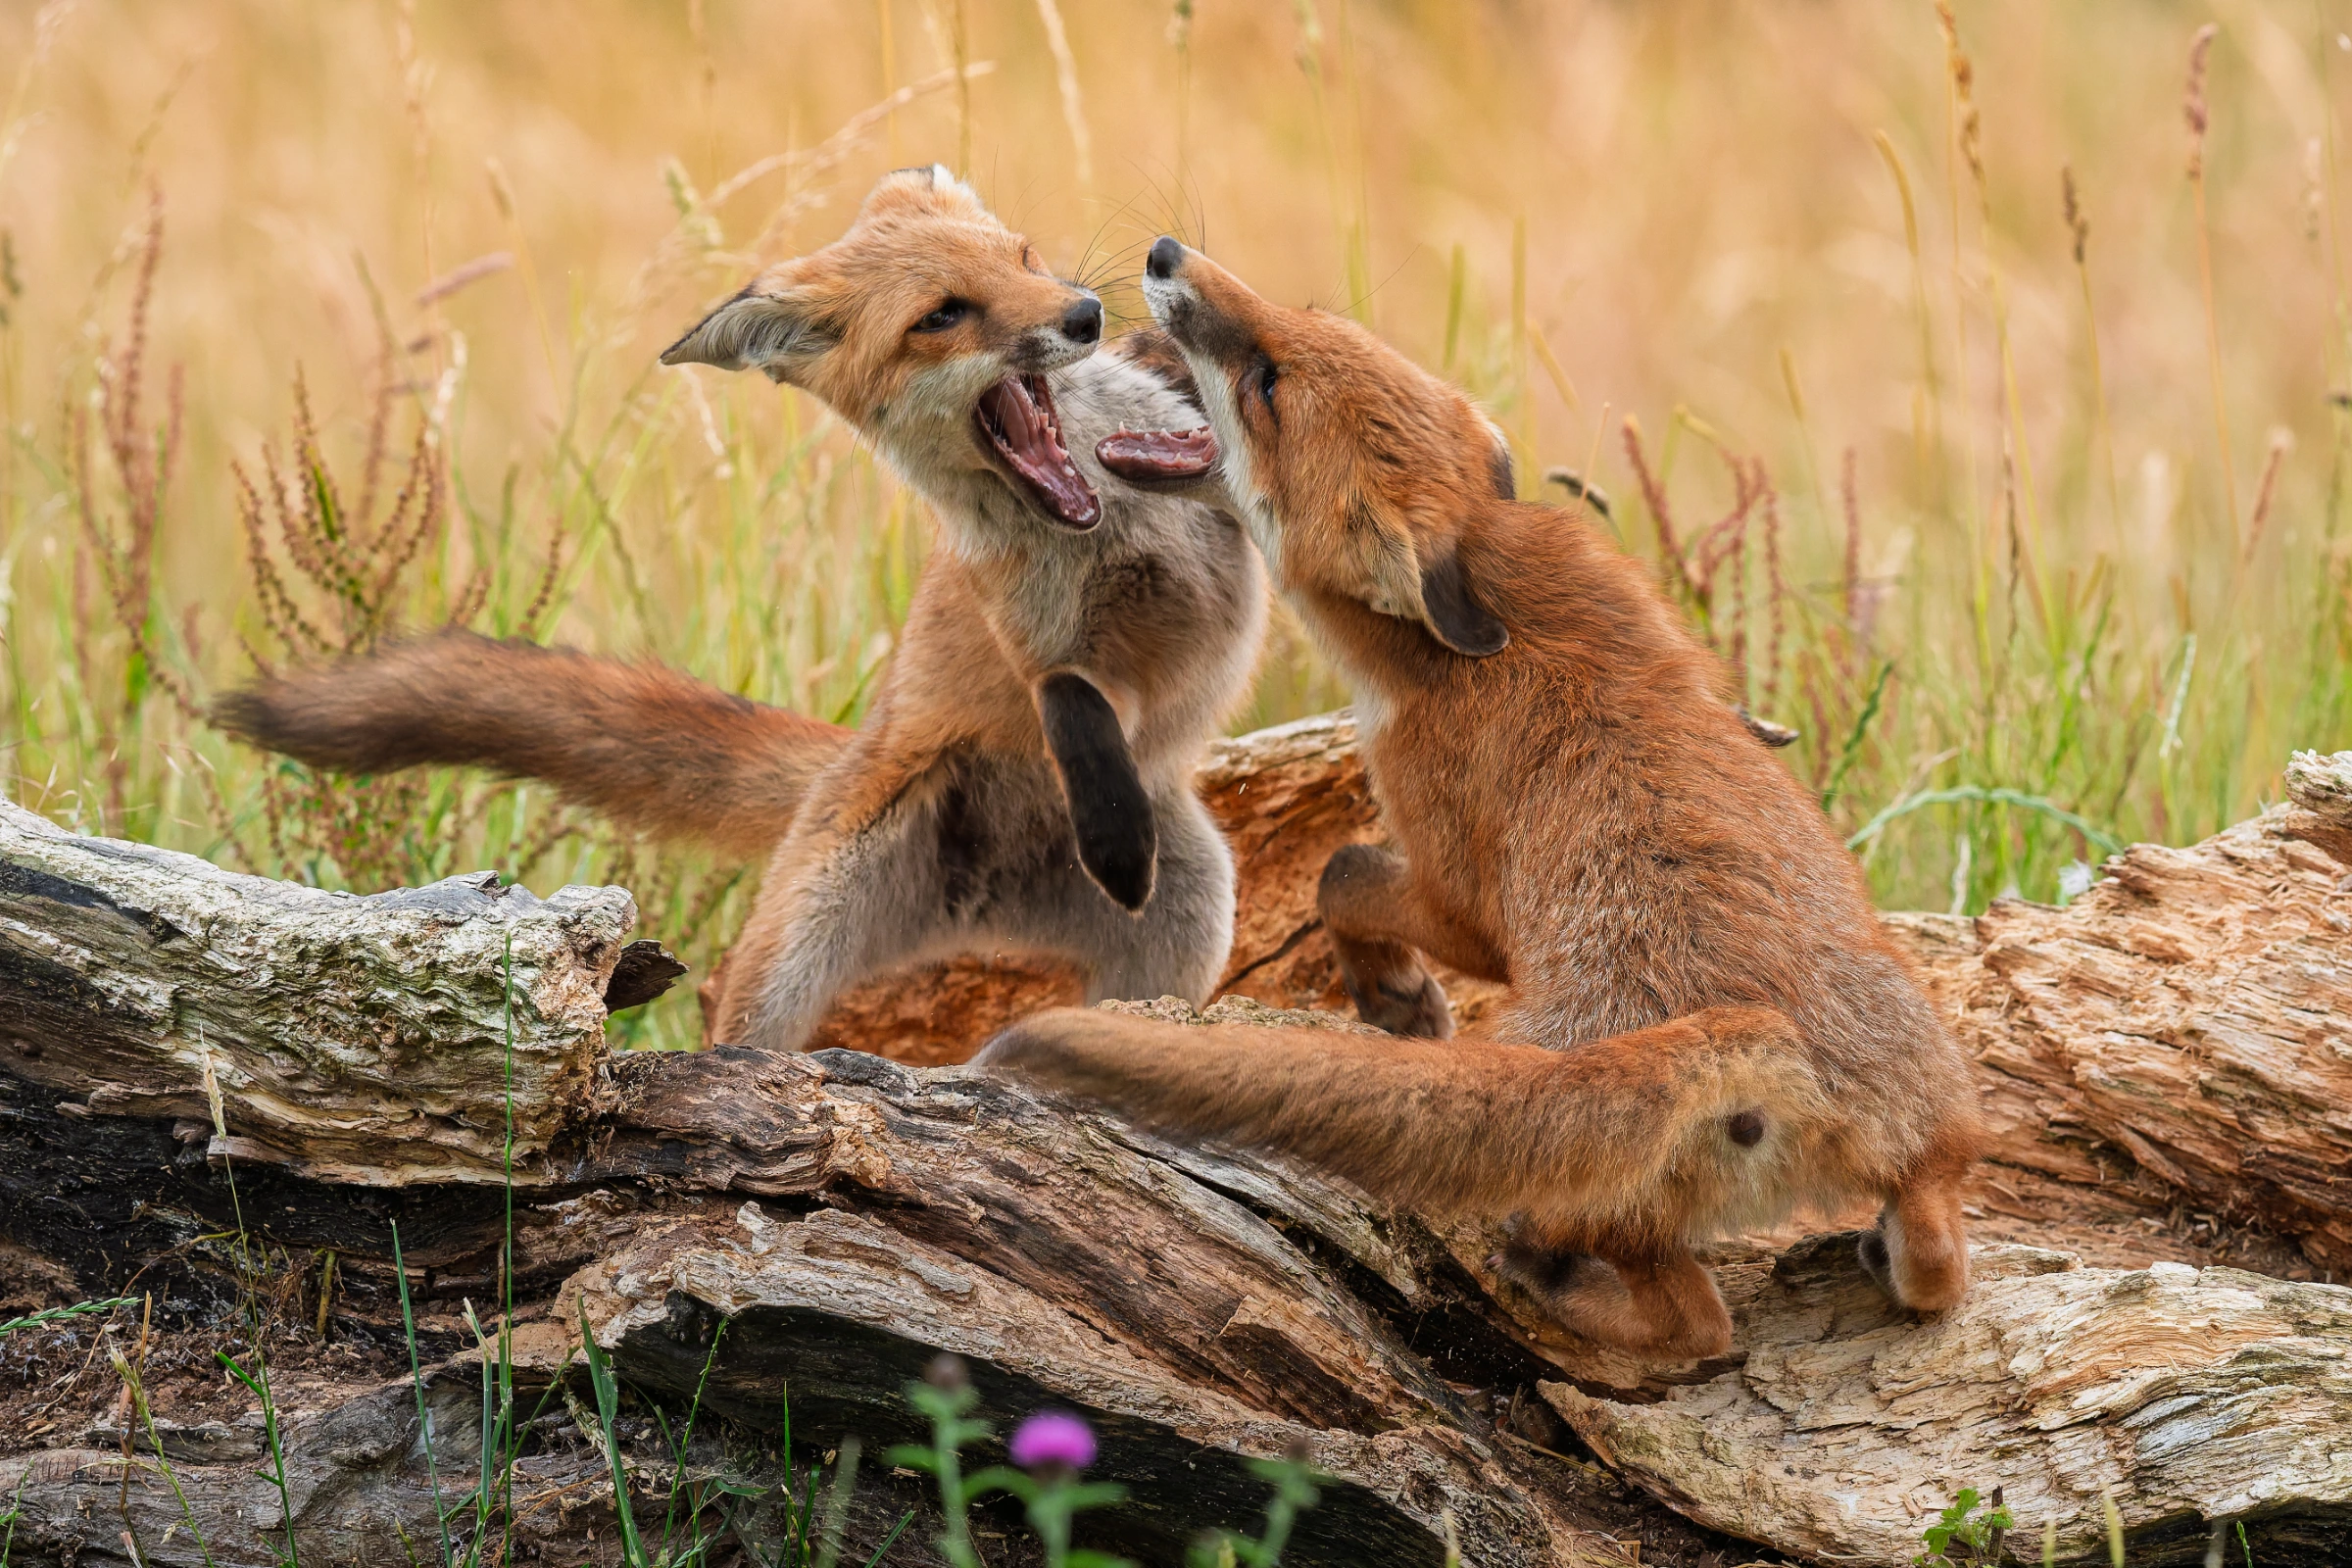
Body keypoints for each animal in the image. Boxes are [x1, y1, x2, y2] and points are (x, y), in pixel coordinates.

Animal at [217, 169, 1266, 1052]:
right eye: (943, 315)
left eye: (1022, 258)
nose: (1084, 313)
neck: (1109, 521)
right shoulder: (1038, 644)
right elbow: (1072, 704)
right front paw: (1115, 845)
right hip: (796, 953)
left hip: (1192, 915)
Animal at [978, 237, 1984, 1360]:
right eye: (1310, 317)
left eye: (1268, 383)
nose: (1166, 255)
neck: (1485, 622)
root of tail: (1774, 1045)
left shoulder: (1466, 901)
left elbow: (1345, 873)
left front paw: (1395, 998)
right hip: (1935, 1113)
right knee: (1934, 1260)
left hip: (1594, 1185)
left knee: (1699, 1323)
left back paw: (1556, 1287)